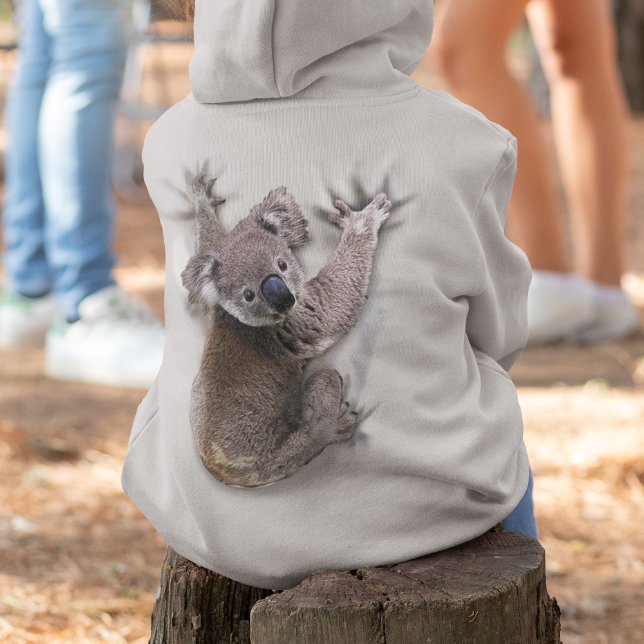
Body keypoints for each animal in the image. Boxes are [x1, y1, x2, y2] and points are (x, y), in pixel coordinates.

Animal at [181, 173, 391, 487]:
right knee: (320, 402)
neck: (234, 318)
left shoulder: (212, 302)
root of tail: (223, 473)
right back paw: (334, 426)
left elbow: (209, 239)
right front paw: (362, 220)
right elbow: (334, 305)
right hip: (279, 454)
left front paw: (201, 195)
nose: (283, 297)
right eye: (248, 295)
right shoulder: (295, 323)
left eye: (282, 263)